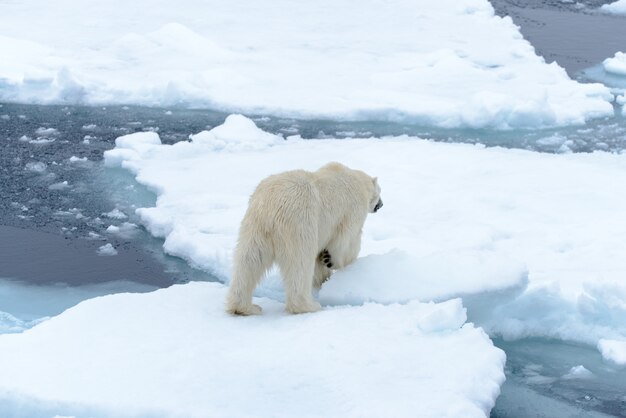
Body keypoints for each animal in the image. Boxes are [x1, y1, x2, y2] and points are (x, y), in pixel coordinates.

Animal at [224, 162, 380, 316]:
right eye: (380, 191)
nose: (381, 204)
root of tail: (271, 204)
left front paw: (323, 273)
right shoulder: (352, 210)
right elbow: (346, 242)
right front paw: (331, 261)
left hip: (255, 226)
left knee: (249, 260)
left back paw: (245, 307)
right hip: (300, 221)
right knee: (300, 262)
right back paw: (309, 305)